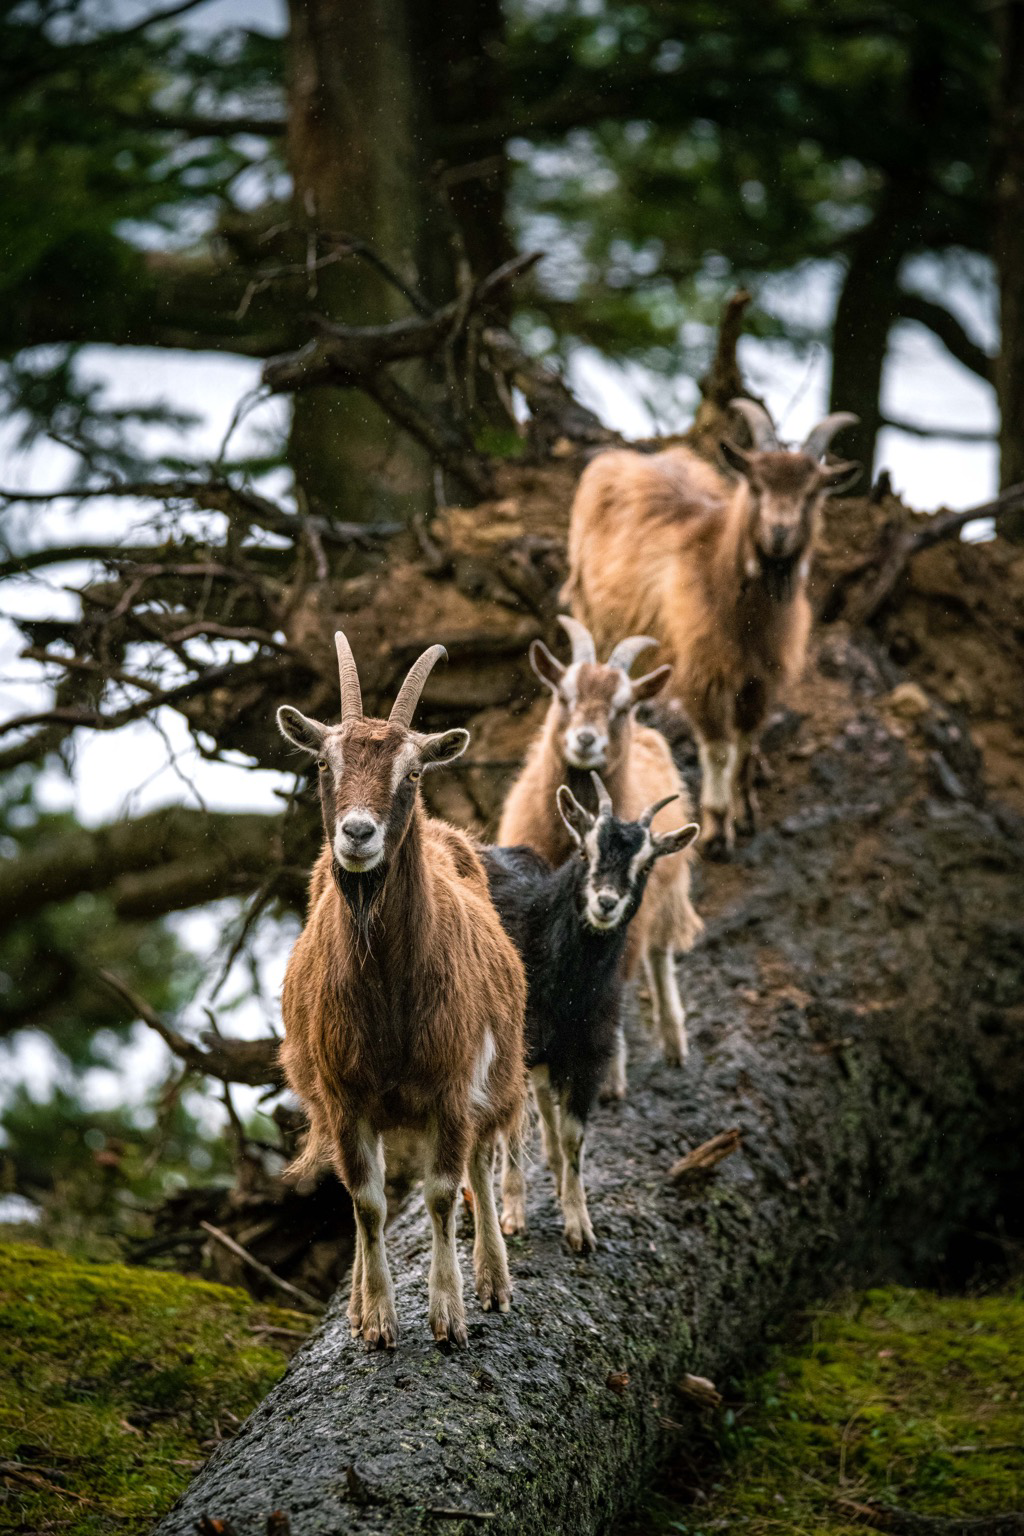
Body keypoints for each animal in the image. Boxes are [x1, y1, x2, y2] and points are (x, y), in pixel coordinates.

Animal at [276, 629, 525, 1351]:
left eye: (412, 771)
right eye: (323, 763)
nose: (357, 834)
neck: (388, 993)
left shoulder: (451, 1087)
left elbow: (443, 1192)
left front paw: (449, 1316)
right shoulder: (344, 1097)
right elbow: (367, 1201)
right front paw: (378, 1320)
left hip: (497, 1078)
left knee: (484, 1162)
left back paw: (494, 1282)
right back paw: (362, 1301)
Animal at [482, 774, 696, 1253]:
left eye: (645, 866)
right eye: (584, 852)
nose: (606, 903)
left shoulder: (589, 1051)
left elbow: (572, 1136)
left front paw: (580, 1226)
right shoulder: (515, 1047)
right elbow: (513, 1130)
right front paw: (514, 1216)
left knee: (544, 1099)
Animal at [497, 611, 706, 1093]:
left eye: (622, 706)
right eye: (564, 694)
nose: (586, 740)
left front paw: (610, 1078)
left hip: (664, 899)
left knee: (659, 957)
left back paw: (674, 1043)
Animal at [564, 396, 859, 860]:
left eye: (813, 493)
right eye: (755, 486)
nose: (779, 533)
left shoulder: (760, 678)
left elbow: (746, 744)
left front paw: (746, 811)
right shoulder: (702, 672)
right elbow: (719, 750)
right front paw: (718, 831)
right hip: (593, 614)